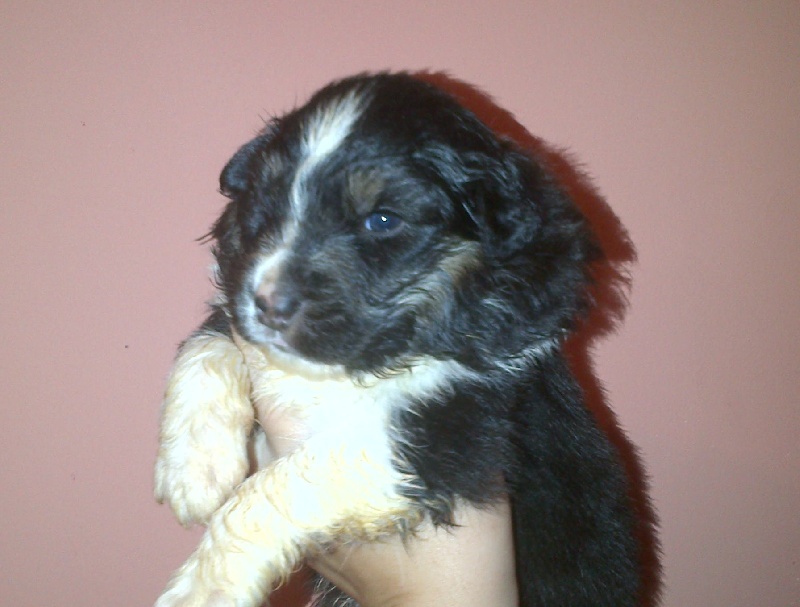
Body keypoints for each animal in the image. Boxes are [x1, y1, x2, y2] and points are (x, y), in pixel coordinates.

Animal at [153, 72, 640, 607]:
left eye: (383, 220)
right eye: (268, 205)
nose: (267, 304)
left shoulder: (441, 435)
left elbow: (276, 488)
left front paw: (202, 590)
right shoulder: (240, 325)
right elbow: (207, 348)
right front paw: (194, 473)